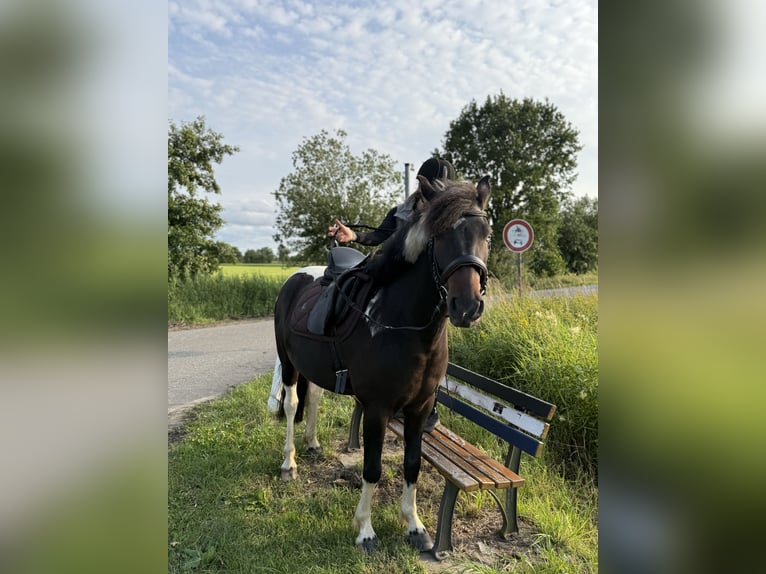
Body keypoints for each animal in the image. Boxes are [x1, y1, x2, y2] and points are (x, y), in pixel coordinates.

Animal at [273, 174, 492, 553]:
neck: (403, 325)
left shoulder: (419, 408)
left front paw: (415, 526)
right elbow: (372, 468)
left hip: (311, 368)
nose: (466, 306)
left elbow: (413, 464)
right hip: (288, 363)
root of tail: (296, 278)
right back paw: (289, 463)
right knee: (291, 404)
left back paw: (313, 444)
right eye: (440, 236)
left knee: (312, 398)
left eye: (487, 234)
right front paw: (365, 530)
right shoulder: (376, 409)